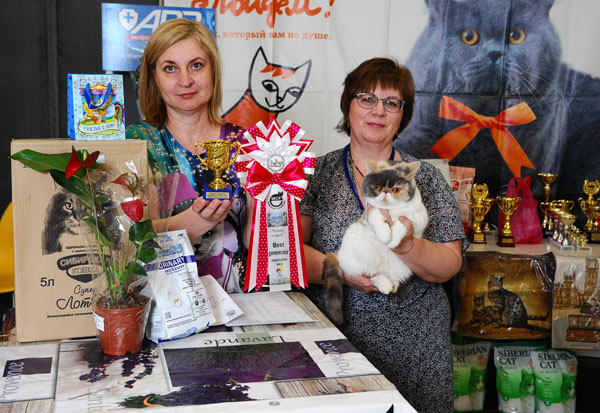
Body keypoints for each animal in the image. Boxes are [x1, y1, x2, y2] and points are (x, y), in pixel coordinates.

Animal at [323, 160, 429, 326]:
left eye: (396, 189)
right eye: (377, 187)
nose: (385, 192)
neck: (392, 211)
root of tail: (339, 255)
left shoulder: (419, 219)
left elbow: (402, 222)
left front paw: (392, 241)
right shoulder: (370, 212)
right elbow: (377, 217)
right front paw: (385, 236)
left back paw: (392, 284)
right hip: (356, 238)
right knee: (370, 273)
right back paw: (385, 284)